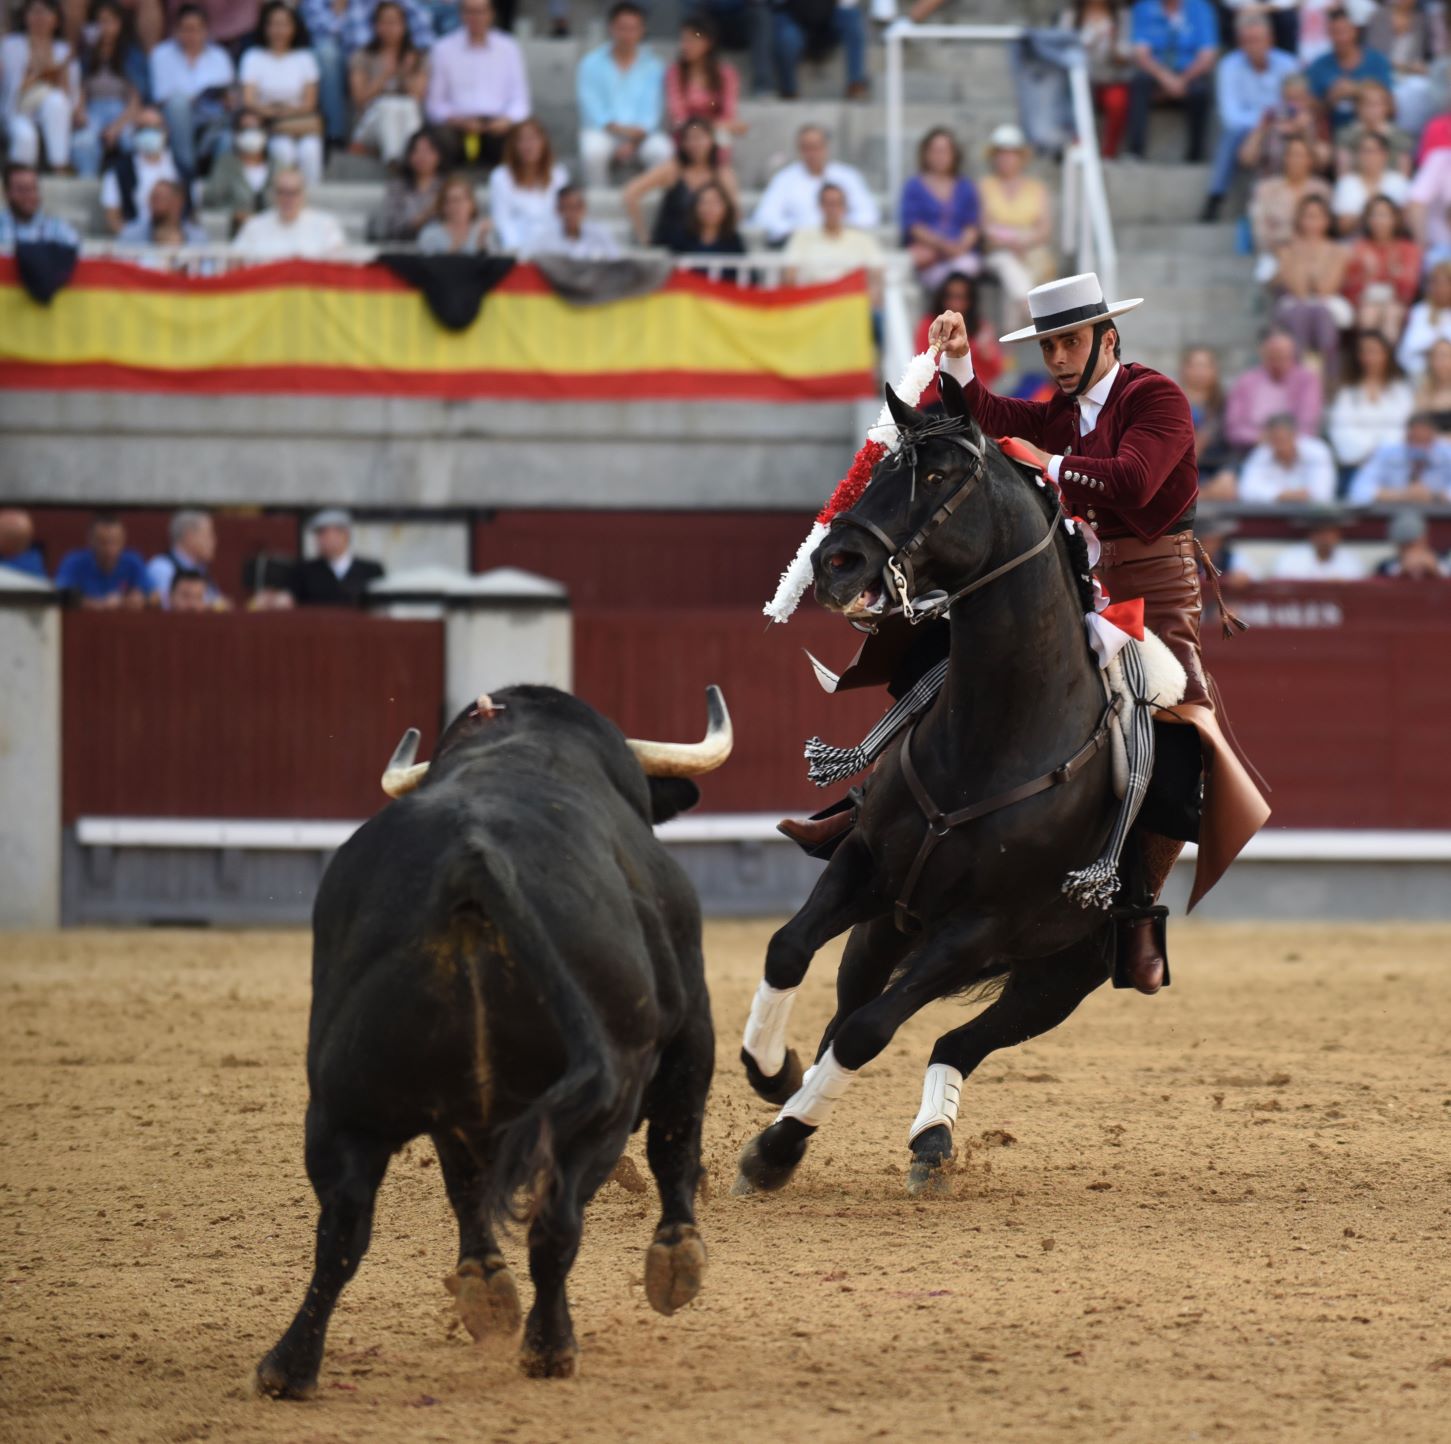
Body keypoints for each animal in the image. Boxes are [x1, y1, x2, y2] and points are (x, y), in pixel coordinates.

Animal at [255, 684, 730, 1393]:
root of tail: (470, 862)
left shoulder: (454, 1114)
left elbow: (463, 1186)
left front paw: (485, 1288)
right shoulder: (692, 1031)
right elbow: (675, 1143)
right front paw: (677, 1263)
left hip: (345, 1102)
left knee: (342, 1228)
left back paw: (290, 1366)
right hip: (597, 1111)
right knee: (556, 1223)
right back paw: (549, 1347)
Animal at [735, 369, 1125, 1197]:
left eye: (941, 476)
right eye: (882, 467)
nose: (833, 564)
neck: (995, 729)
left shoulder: (979, 925)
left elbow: (869, 1032)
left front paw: (774, 1148)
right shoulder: (865, 864)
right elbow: (787, 951)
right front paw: (769, 1074)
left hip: (1063, 970)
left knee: (954, 1039)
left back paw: (928, 1140)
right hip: (889, 925)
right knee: (851, 1003)